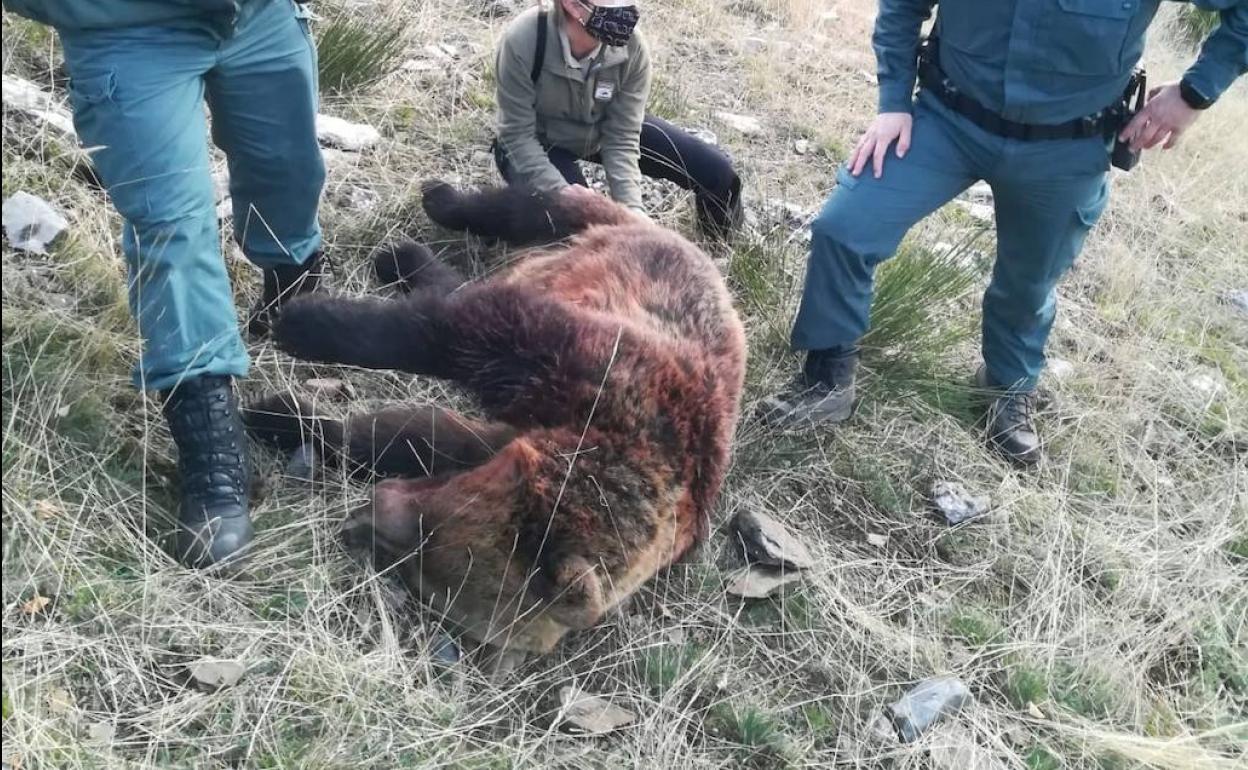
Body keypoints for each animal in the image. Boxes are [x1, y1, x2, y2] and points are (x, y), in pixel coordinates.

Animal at [248, 182, 743, 653]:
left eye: (417, 570)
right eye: (431, 530)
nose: (356, 526)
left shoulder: (510, 436)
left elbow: (418, 436)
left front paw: (287, 420)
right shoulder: (594, 366)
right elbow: (462, 333)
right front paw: (304, 324)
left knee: (462, 284)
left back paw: (406, 261)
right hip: (601, 238)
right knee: (528, 212)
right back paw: (431, 211)